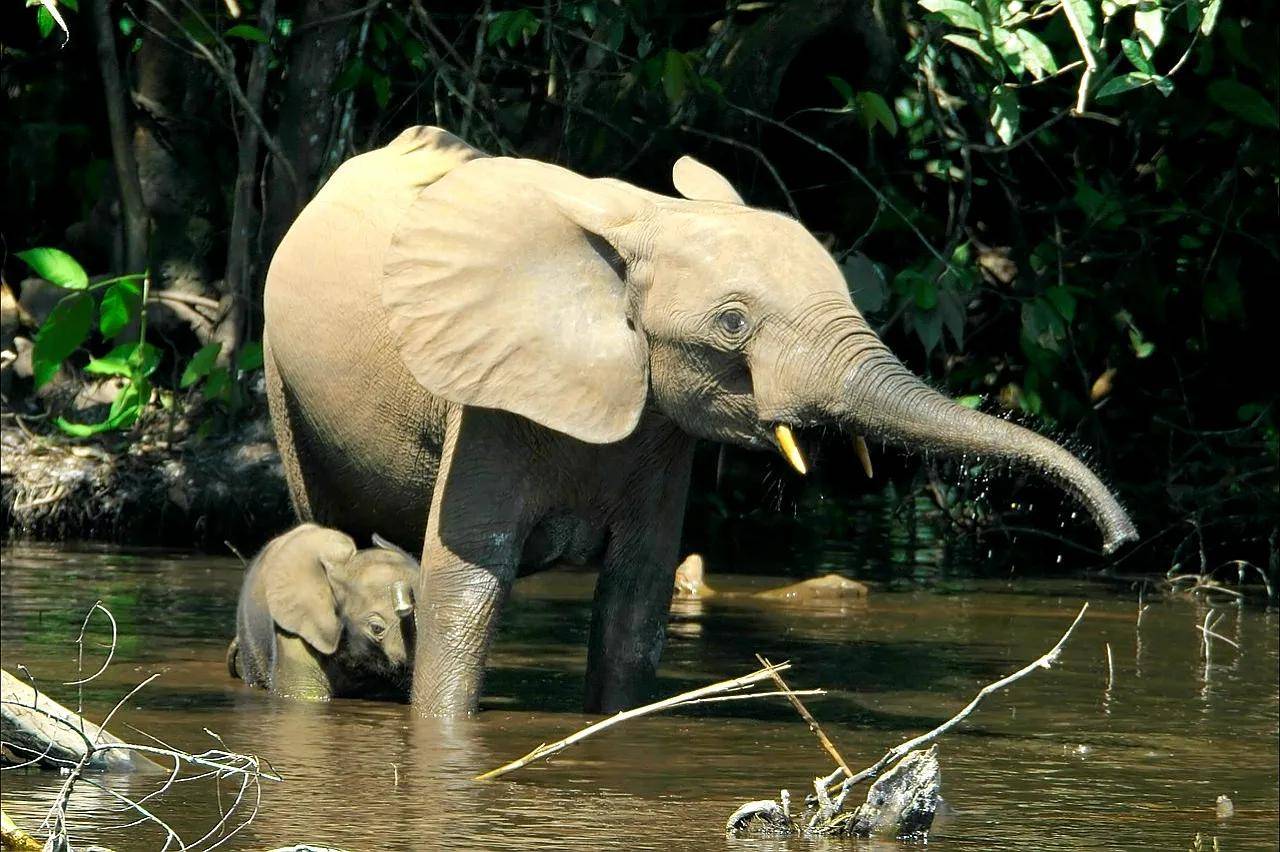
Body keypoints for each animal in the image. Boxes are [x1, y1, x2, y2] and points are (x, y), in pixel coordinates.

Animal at [264, 126, 1136, 716]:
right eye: (732, 324)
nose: (1120, 543)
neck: (645, 222)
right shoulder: (487, 399)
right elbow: (467, 585)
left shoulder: (659, 430)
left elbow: (636, 603)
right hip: (282, 378)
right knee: (328, 524)